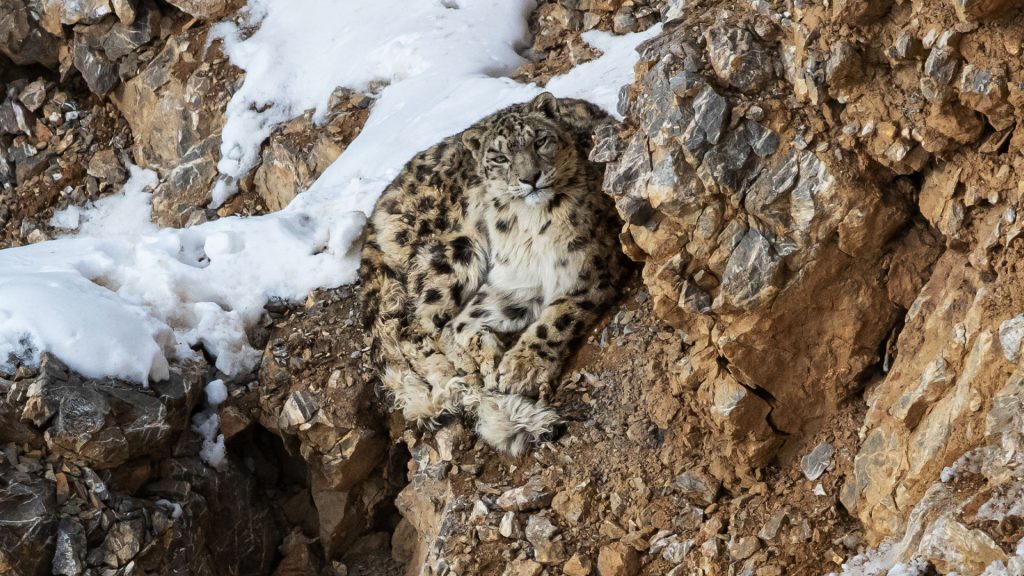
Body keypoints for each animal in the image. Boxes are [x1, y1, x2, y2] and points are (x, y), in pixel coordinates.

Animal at [358, 92, 627, 456]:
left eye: (539, 141)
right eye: (499, 158)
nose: (531, 177)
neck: (530, 227)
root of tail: (377, 211)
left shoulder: (583, 269)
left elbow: (555, 317)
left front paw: (515, 368)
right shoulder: (514, 278)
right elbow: (462, 325)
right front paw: (502, 366)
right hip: (454, 253)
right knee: (417, 326)